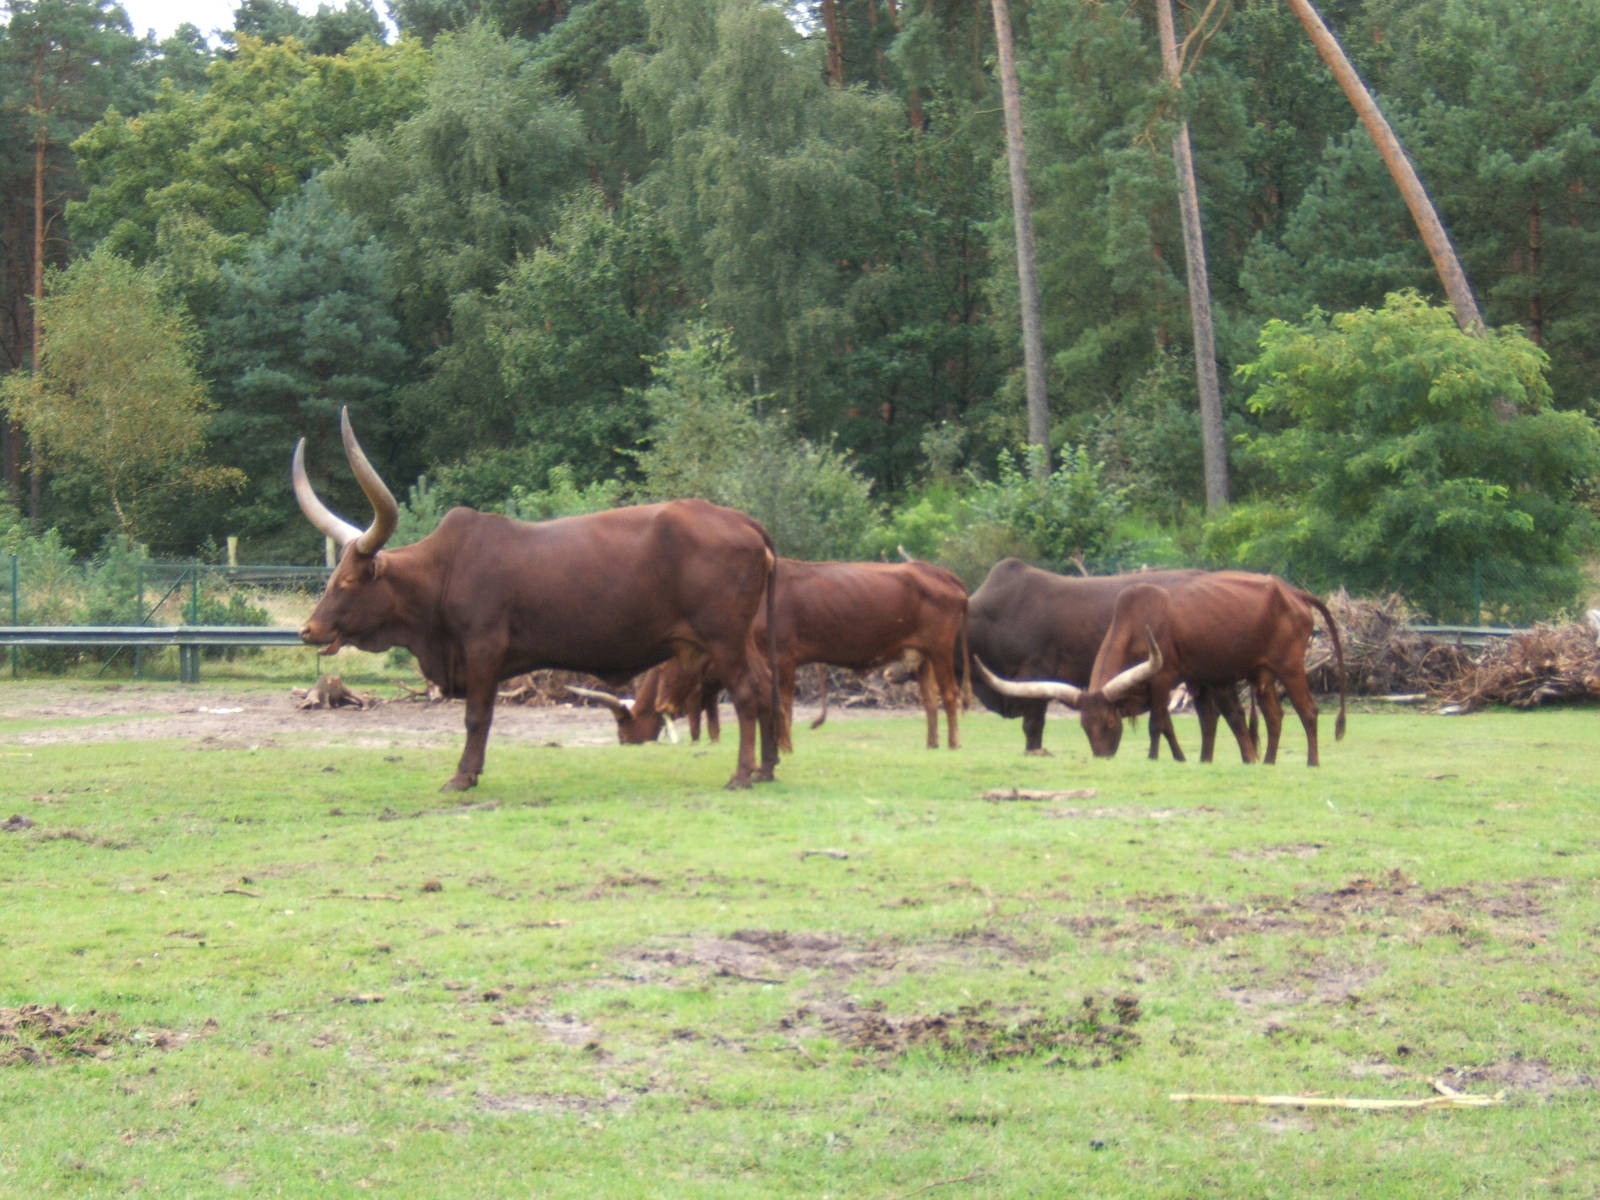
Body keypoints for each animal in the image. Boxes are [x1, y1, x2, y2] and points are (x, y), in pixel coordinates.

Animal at [292, 409, 780, 791]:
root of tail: (743, 521)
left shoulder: (482, 650)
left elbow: (476, 716)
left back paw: (742, 774)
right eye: (332, 576)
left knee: (746, 689)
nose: (307, 630)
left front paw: (462, 776)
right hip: (742, 638)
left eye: (349, 580)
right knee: (766, 682)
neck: (446, 569)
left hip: (723, 637)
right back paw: (767, 768)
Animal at [573, 558, 971, 750]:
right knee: (930, 702)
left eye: (624, 722)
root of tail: (946, 576)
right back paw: (932, 743)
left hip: (941, 650)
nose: (624, 741)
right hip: (920, 656)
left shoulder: (782, 659)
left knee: (950, 696)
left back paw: (953, 744)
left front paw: (784, 745)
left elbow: (782, 706)